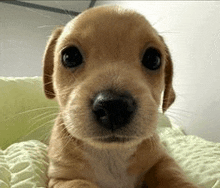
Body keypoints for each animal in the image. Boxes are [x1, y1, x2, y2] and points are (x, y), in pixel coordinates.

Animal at [42, 5, 198, 188]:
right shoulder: (64, 179)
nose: (113, 107)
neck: (112, 152)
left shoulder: (162, 160)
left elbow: (172, 174)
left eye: (153, 59)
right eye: (70, 56)